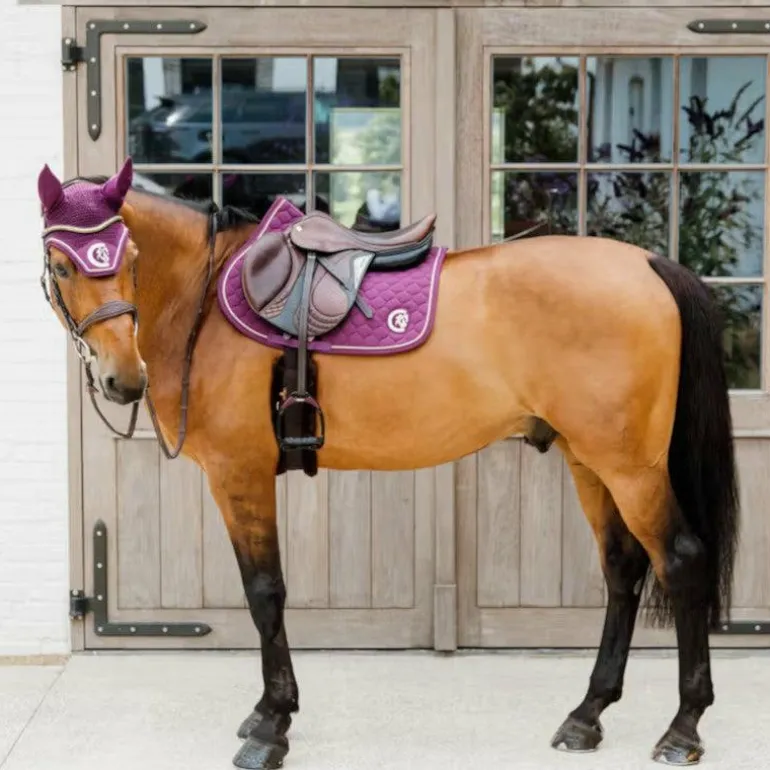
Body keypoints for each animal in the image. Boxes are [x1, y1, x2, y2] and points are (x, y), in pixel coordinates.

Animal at [36, 156, 738, 770]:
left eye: (128, 257)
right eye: (61, 264)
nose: (122, 378)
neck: (205, 301)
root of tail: (648, 263)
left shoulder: (240, 475)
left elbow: (265, 593)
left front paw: (271, 725)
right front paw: (268, 711)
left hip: (630, 468)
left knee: (681, 561)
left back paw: (682, 727)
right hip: (589, 460)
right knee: (622, 569)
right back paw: (587, 714)